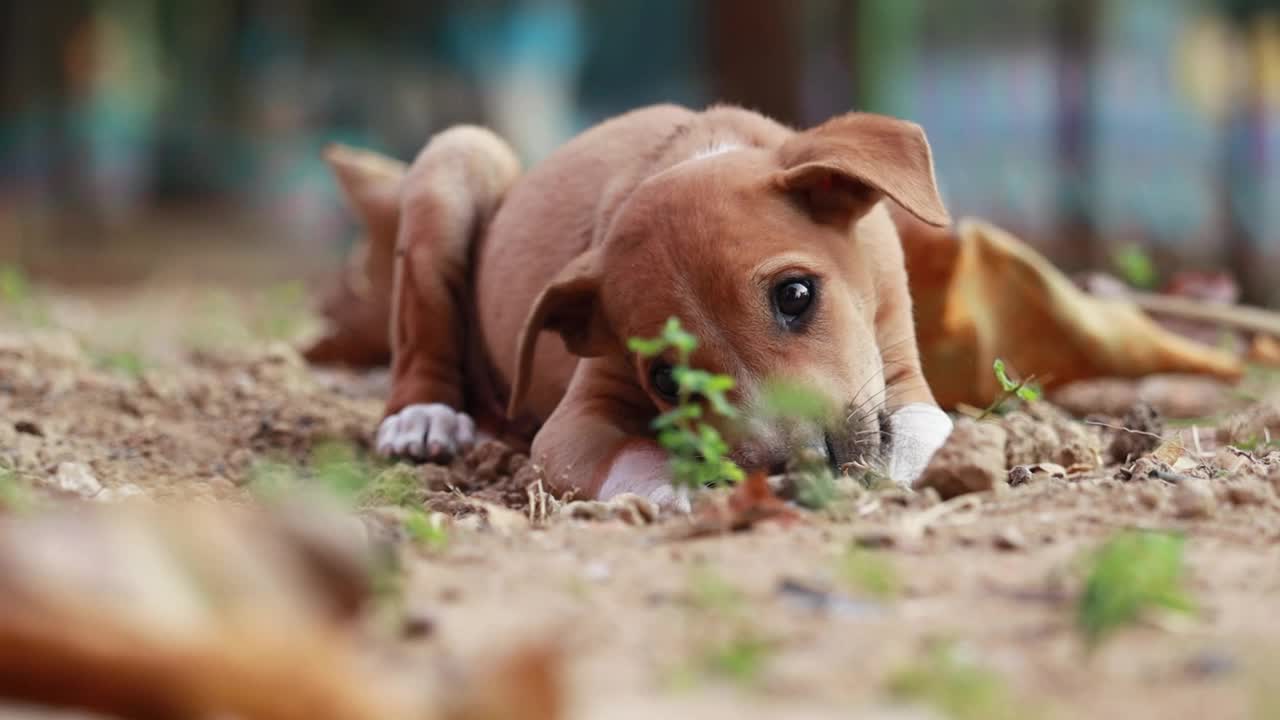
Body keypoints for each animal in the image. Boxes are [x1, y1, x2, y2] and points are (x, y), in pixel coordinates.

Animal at [373, 105, 957, 509]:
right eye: (667, 381)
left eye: (796, 294)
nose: (800, 466)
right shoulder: (574, 421)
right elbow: (629, 456)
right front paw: (685, 491)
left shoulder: (898, 371)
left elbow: (922, 430)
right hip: (456, 159)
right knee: (418, 334)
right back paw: (420, 416)